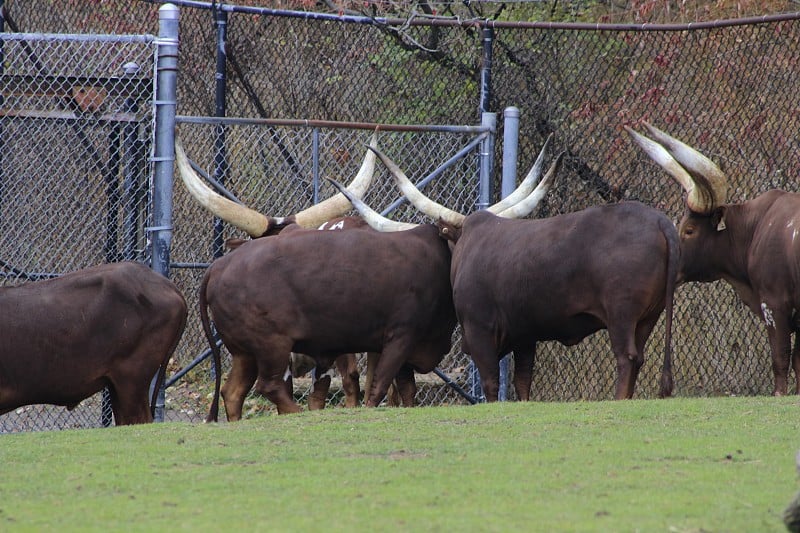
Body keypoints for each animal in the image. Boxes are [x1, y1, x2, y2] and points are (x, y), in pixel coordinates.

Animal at [344, 143, 680, 402]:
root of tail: (659, 221)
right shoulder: (525, 336)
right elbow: (522, 383)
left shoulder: (478, 332)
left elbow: (491, 383)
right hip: (648, 317)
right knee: (638, 357)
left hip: (621, 314)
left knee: (627, 357)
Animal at [628, 121, 800, 394]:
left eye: (689, 230)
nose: (668, 265)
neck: (757, 227)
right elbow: (796, 361)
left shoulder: (774, 304)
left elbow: (781, 358)